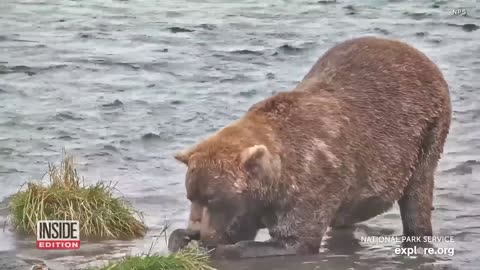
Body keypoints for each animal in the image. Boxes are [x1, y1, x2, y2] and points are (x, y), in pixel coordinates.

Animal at [168, 35, 450, 258]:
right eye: (191, 196)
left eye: (213, 198)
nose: (197, 231)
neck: (275, 182)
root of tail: (413, 50)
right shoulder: (254, 204)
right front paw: (180, 238)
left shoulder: (314, 177)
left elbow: (295, 238)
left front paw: (215, 248)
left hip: (425, 131)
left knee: (417, 194)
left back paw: (418, 236)